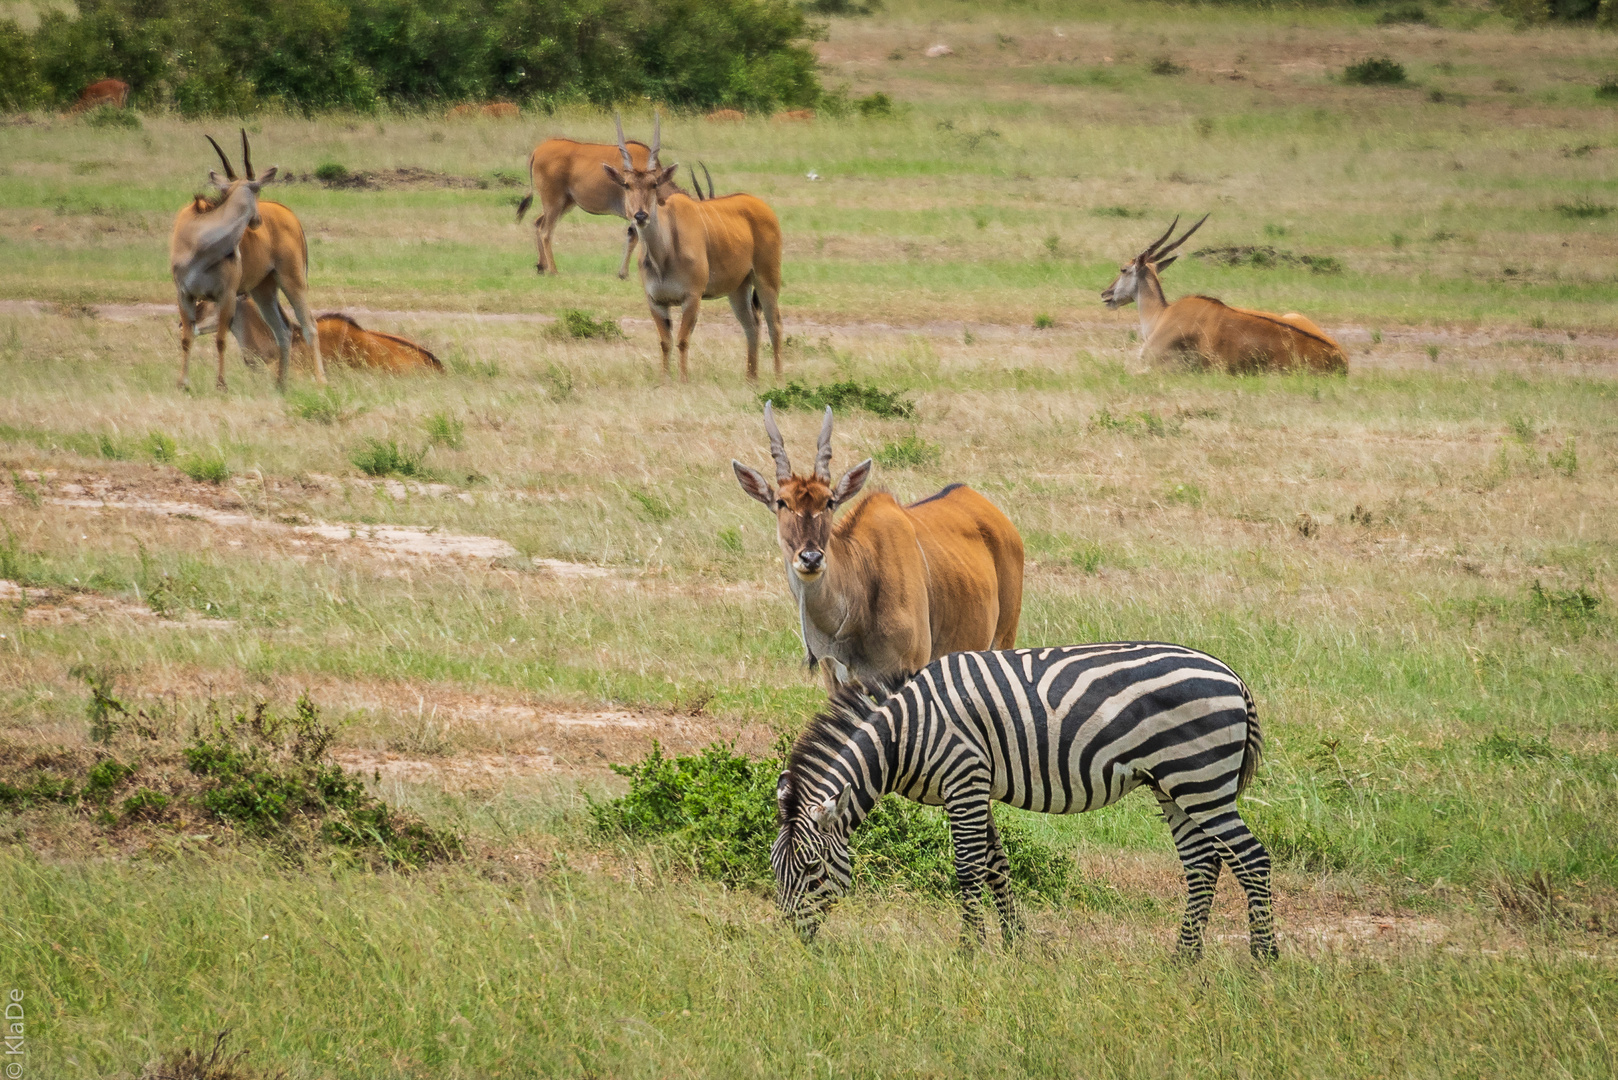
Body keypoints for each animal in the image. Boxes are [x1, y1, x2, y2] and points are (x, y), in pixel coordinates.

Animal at [608, 113, 783, 382]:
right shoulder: (655, 300)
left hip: (766, 278)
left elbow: (681, 340)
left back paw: (778, 378)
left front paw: (683, 380)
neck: (663, 256)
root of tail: (763, 206)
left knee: (775, 324)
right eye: (626, 184)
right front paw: (664, 380)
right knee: (751, 325)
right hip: (738, 288)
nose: (640, 215)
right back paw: (751, 379)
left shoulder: (692, 297)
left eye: (654, 184)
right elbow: (665, 342)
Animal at [737, 401, 1022, 689]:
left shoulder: (906, 672)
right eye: (782, 502)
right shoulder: (836, 679)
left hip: (1004, 637)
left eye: (829, 501)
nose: (811, 558)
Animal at [770, 637, 1274, 958]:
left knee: (1251, 858)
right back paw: (1184, 959)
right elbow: (996, 866)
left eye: (812, 869)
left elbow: (968, 867)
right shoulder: (974, 786)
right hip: (1172, 783)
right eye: (775, 869)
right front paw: (1015, 945)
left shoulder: (964, 778)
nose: (796, 940)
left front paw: (970, 950)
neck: (905, 734)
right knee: (1202, 864)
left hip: (1199, 776)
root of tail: (1232, 676)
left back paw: (1263, 959)